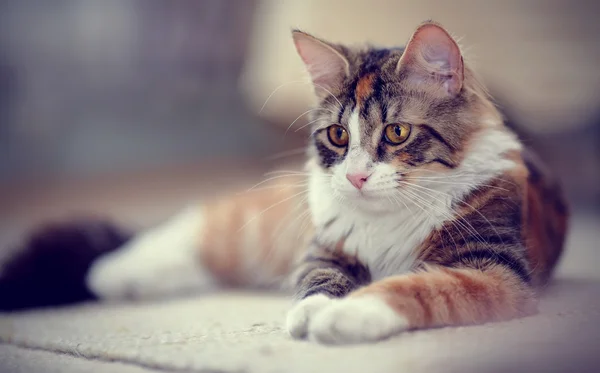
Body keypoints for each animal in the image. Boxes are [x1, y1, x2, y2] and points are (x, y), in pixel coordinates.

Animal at [0, 21, 568, 344]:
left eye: (396, 132)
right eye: (339, 135)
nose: (356, 176)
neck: (388, 221)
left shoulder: (492, 271)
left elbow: (415, 287)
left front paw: (347, 316)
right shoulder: (324, 248)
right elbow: (315, 280)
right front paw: (313, 313)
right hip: (254, 228)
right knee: (188, 226)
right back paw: (110, 270)